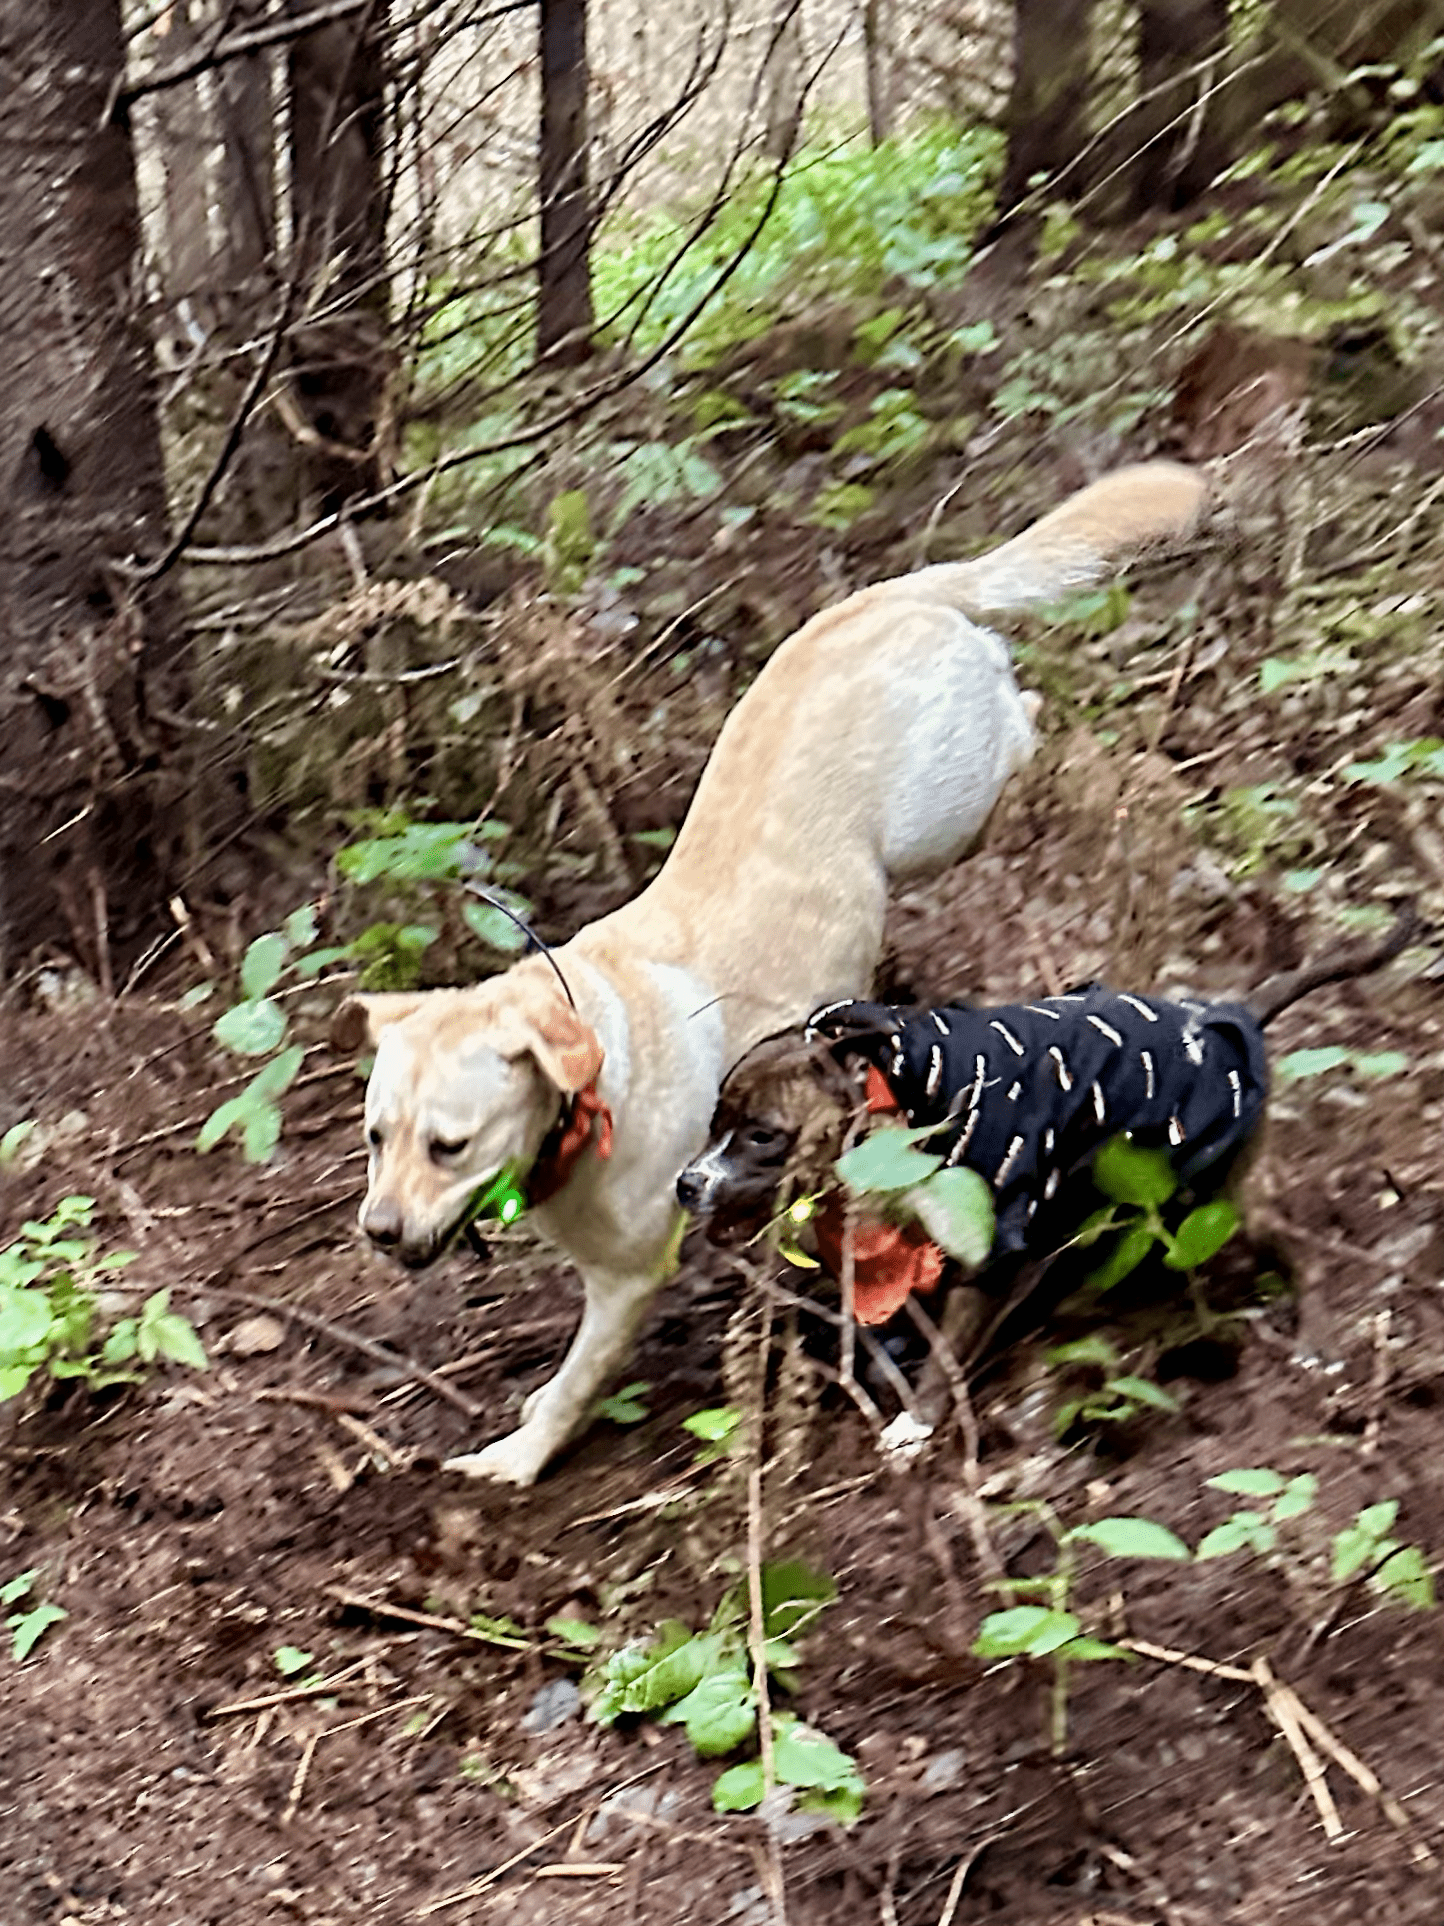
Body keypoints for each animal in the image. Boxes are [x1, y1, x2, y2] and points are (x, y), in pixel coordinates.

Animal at [333, 458, 1201, 1479]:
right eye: (375, 1137)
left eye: (450, 1145)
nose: (379, 1233)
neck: (592, 1078)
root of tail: (889, 594)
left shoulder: (628, 1278)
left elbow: (575, 1382)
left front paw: (518, 1457)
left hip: (940, 817)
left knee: (1019, 718)